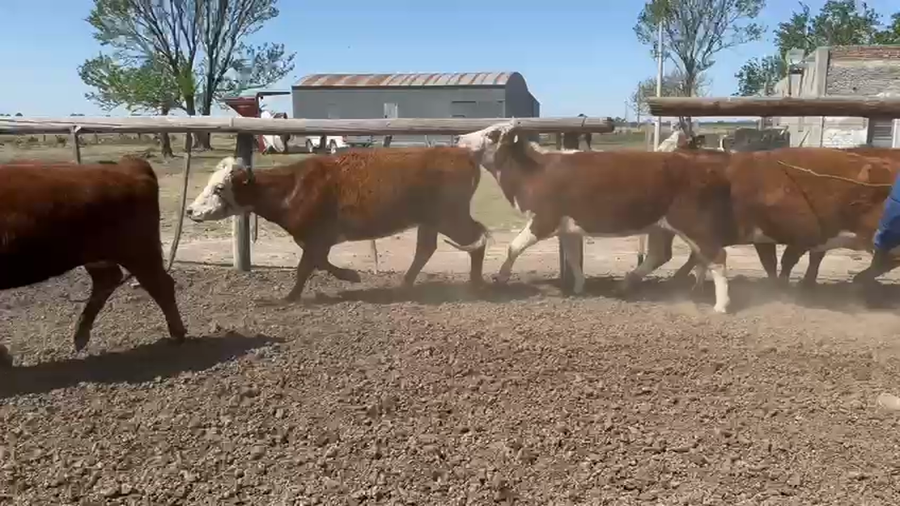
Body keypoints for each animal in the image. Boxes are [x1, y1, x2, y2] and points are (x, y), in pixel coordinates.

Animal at [0, 156, 187, 361]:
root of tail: (127, 166)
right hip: (101, 256)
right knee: (109, 279)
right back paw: (80, 335)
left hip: (138, 253)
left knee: (160, 285)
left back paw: (177, 334)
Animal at [185, 148, 491, 301]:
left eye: (219, 188)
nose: (190, 210)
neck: (293, 187)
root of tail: (463, 155)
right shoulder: (317, 239)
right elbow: (318, 263)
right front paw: (350, 276)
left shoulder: (318, 237)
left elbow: (305, 267)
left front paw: (289, 297)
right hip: (431, 220)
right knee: (427, 249)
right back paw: (404, 285)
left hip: (449, 216)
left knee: (477, 238)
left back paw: (475, 285)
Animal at [457, 121, 738, 313]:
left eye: (492, 134)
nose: (459, 137)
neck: (534, 171)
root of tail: (703, 165)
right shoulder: (567, 227)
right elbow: (572, 258)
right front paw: (579, 286)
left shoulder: (544, 220)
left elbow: (514, 247)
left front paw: (501, 278)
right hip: (661, 226)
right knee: (663, 255)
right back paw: (628, 284)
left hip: (692, 223)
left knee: (716, 256)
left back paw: (721, 305)